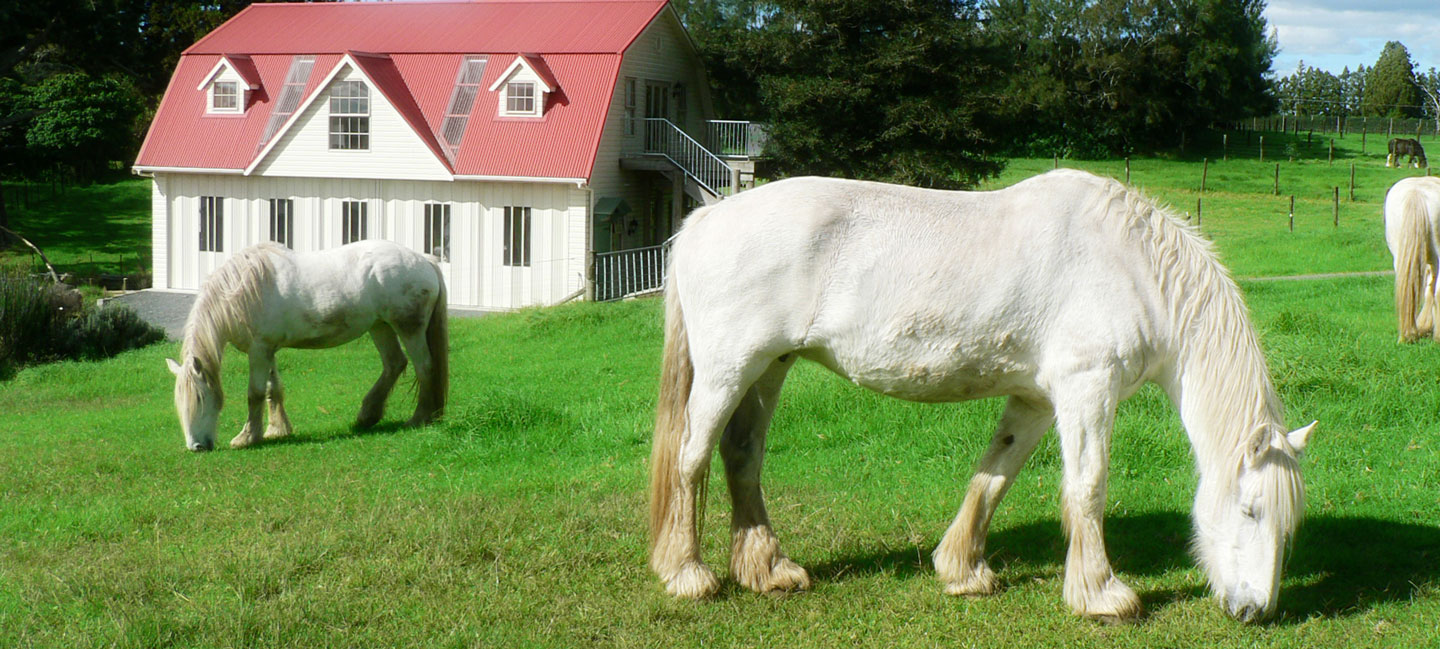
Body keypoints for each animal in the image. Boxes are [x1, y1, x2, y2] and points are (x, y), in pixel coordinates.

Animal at [163, 240, 446, 451]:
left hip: (409, 328)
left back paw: (419, 418)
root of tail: (424, 260)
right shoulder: (268, 351)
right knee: (394, 364)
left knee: (424, 367)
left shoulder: (259, 350)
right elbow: (273, 389)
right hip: (380, 326)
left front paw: (247, 437)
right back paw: (368, 416)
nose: (197, 447)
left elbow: (255, 393)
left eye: (200, 398)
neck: (242, 292)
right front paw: (277, 429)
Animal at [653, 169, 1319, 624]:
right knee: (691, 457)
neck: (1132, 265)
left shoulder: (1038, 401)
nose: (1255, 610)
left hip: (769, 367)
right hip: (727, 370)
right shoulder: (1088, 388)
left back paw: (768, 570)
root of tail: (706, 220)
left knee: (742, 456)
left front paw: (963, 570)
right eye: (1251, 510)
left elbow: (995, 474)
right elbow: (1087, 488)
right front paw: (1101, 594)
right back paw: (687, 573)